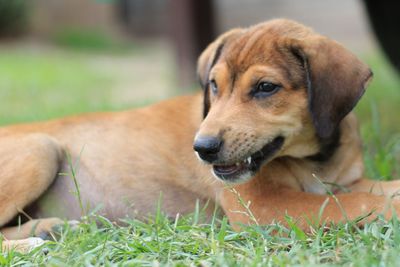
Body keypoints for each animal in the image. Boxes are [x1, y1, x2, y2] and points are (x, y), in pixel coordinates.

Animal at [0, 19, 400, 253]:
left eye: (266, 87)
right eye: (214, 85)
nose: (202, 149)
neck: (316, 158)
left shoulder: (346, 181)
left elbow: (376, 189)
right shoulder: (261, 206)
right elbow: (353, 204)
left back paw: (49, 229)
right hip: (40, 148)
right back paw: (35, 243)